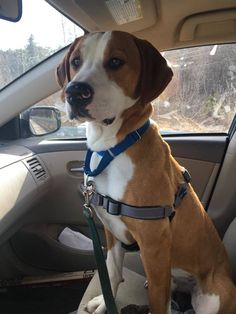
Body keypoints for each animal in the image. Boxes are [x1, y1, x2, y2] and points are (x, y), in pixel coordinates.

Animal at [56, 31, 236, 314]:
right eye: (76, 61)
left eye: (116, 61)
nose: (74, 92)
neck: (112, 148)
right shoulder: (110, 230)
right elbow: (113, 270)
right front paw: (104, 302)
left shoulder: (154, 245)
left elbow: (157, 301)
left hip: (214, 295)